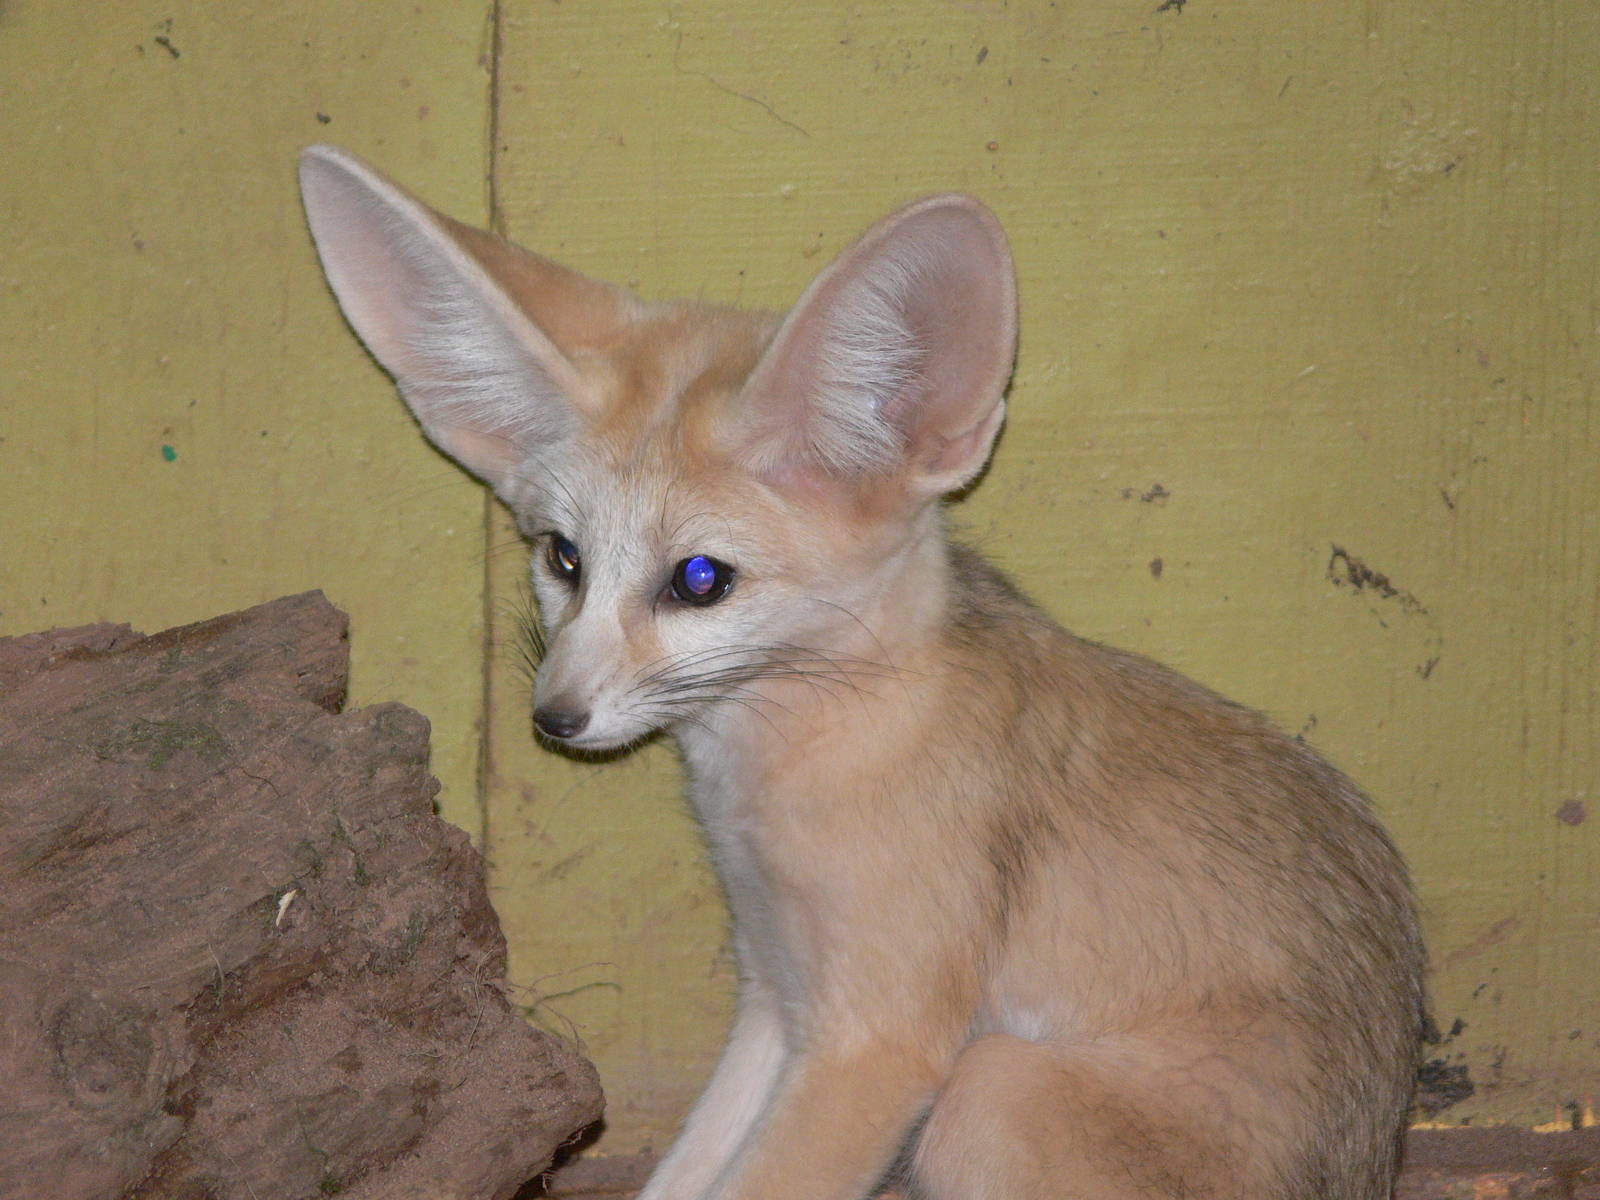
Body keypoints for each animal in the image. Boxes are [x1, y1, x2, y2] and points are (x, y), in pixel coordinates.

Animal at [299, 144, 1424, 1200]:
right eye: (562, 559)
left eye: (698, 580)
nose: (553, 718)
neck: (785, 765)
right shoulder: (777, 996)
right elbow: (687, 1176)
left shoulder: (877, 1040)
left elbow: (763, 1182)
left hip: (984, 1093)